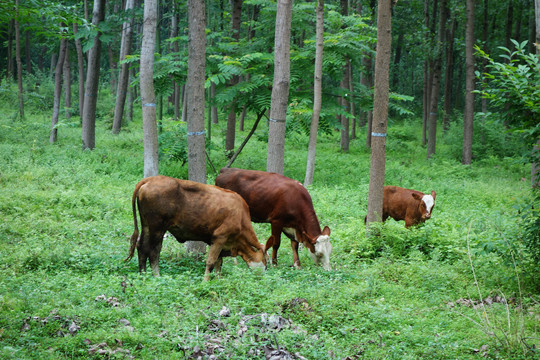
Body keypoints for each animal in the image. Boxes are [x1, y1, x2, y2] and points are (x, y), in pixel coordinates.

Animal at [125, 176, 270, 282]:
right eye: (266, 260)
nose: (265, 272)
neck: (240, 215)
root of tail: (150, 179)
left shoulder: (216, 242)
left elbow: (218, 263)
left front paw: (219, 280)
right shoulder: (220, 237)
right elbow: (211, 262)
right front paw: (205, 282)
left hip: (147, 226)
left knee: (141, 247)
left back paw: (142, 275)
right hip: (157, 229)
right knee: (153, 251)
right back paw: (157, 276)